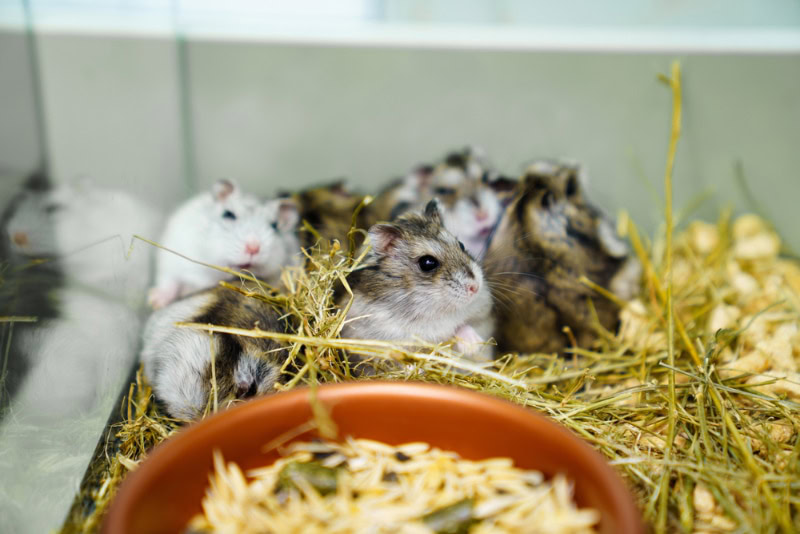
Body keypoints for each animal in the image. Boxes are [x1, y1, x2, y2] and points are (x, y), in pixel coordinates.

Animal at [148, 179, 301, 309]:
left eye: (275, 226)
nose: (253, 248)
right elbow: (169, 280)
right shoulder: (171, 259)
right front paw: (154, 301)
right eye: (228, 214)